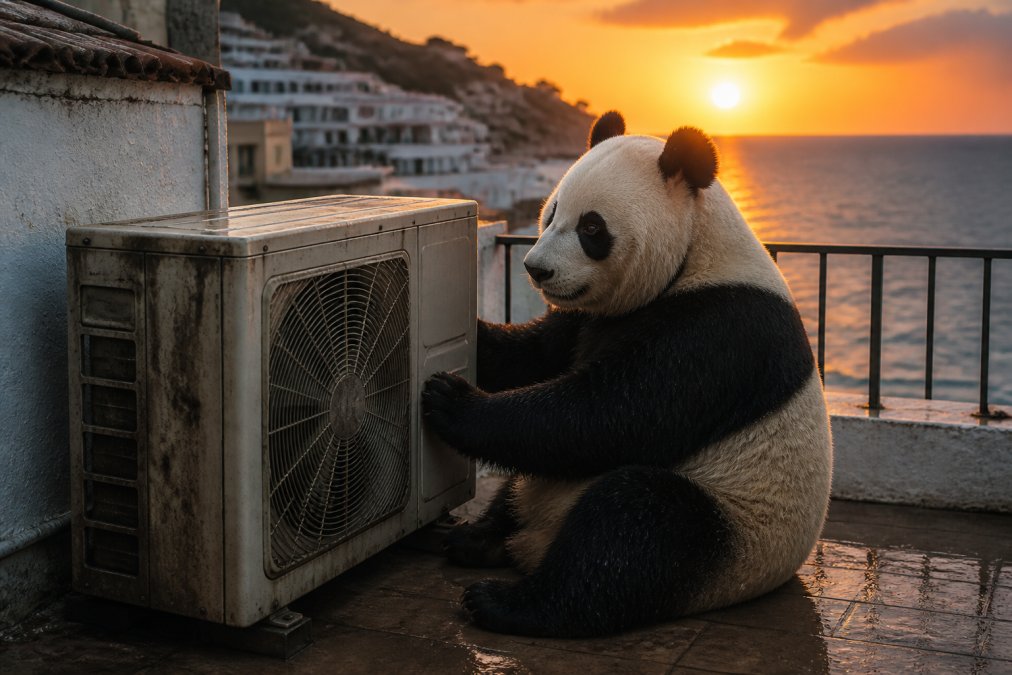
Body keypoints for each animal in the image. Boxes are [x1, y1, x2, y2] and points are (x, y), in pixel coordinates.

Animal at [421, 111, 832, 638]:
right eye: (552, 213)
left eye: (592, 227)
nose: (537, 269)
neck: (695, 252)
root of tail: (535, 541)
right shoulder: (588, 317)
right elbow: (534, 354)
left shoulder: (722, 328)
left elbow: (616, 414)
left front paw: (450, 399)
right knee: (520, 489)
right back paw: (476, 538)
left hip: (738, 525)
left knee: (636, 526)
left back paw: (504, 601)